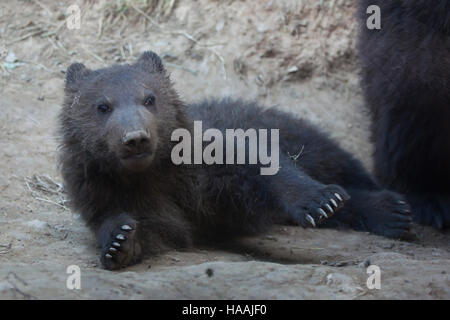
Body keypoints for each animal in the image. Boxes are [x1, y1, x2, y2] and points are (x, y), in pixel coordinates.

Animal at [59, 52, 412, 270]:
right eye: (103, 106)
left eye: (149, 98)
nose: (136, 138)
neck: (152, 174)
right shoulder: (106, 190)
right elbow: (131, 224)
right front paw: (119, 241)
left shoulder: (202, 163)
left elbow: (253, 162)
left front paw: (321, 200)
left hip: (296, 131)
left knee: (340, 163)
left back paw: (389, 209)